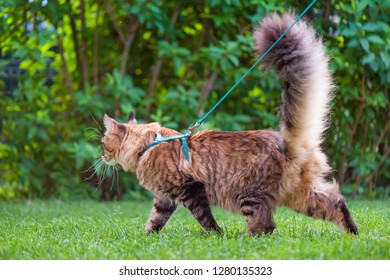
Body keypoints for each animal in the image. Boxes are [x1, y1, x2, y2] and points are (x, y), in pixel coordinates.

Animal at [100, 12, 356, 236]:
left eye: (103, 143)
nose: (101, 156)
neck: (149, 146)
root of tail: (288, 141)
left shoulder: (190, 189)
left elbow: (205, 218)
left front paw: (216, 234)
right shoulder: (165, 198)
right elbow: (155, 219)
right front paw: (147, 236)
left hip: (250, 195)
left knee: (265, 226)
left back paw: (247, 239)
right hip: (300, 195)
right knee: (335, 202)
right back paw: (352, 232)